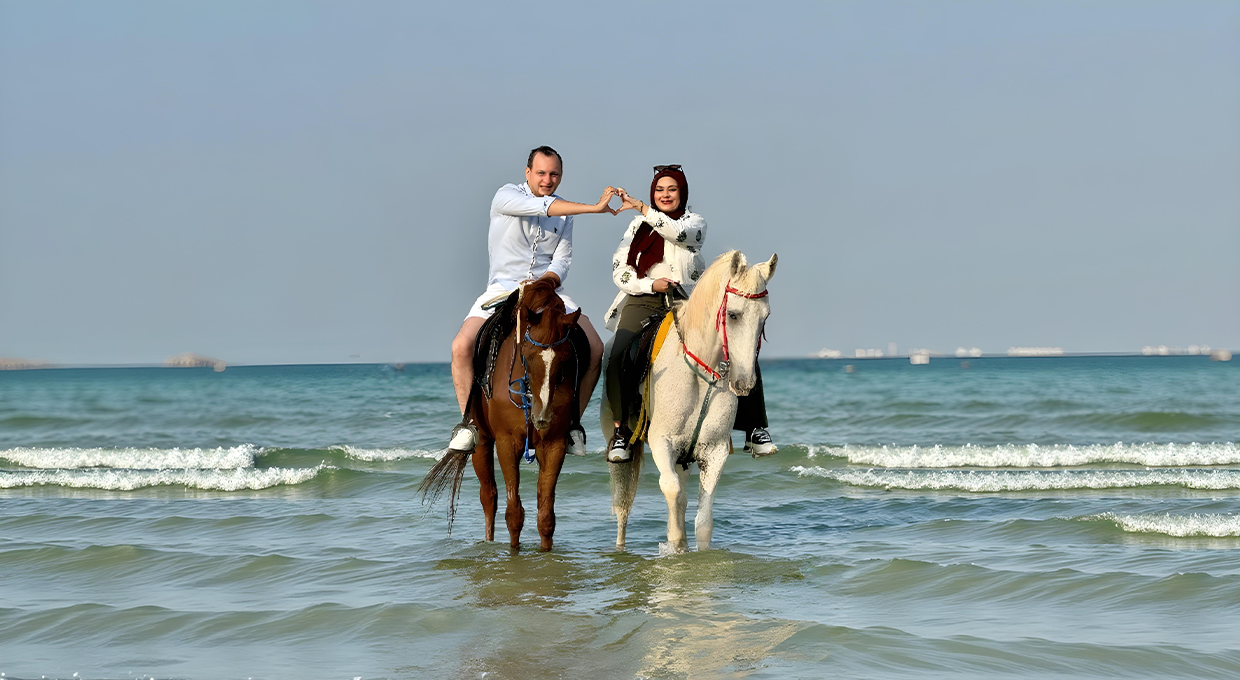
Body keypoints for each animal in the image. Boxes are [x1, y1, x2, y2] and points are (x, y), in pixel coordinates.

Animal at [420, 278, 583, 551]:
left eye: (566, 359)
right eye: (526, 355)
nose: (542, 418)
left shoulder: (554, 445)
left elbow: (546, 515)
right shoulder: (507, 443)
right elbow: (513, 513)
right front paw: (513, 554)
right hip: (483, 442)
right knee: (489, 497)